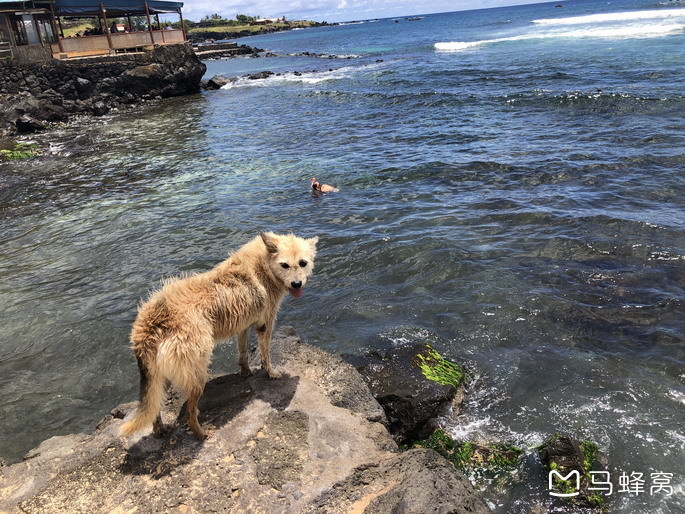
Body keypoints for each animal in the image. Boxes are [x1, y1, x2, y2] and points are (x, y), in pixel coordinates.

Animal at [119, 231, 318, 436]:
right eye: (284, 265)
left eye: (303, 263)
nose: (297, 284)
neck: (264, 264)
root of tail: (151, 322)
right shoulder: (265, 325)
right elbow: (266, 355)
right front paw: (271, 372)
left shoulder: (243, 326)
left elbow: (243, 352)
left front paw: (245, 372)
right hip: (197, 373)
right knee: (190, 413)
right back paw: (201, 434)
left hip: (160, 375)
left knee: (155, 407)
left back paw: (160, 430)